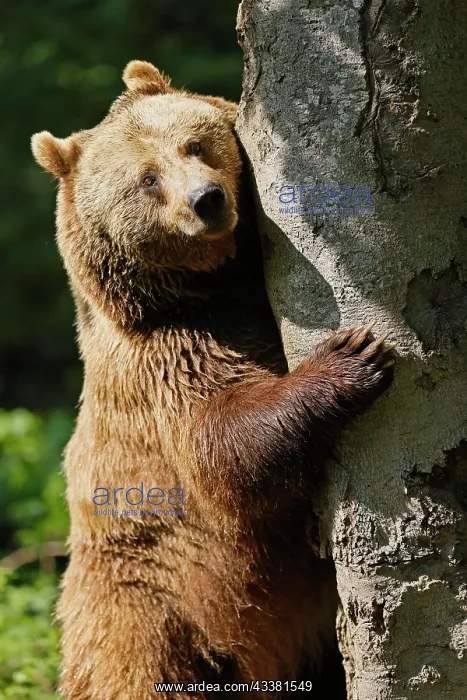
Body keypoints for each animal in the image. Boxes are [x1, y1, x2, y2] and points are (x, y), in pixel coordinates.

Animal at [31, 60, 394, 700]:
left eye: (193, 144)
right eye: (147, 180)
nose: (207, 200)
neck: (211, 289)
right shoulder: (162, 360)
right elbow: (219, 445)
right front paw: (352, 357)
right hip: (144, 608)